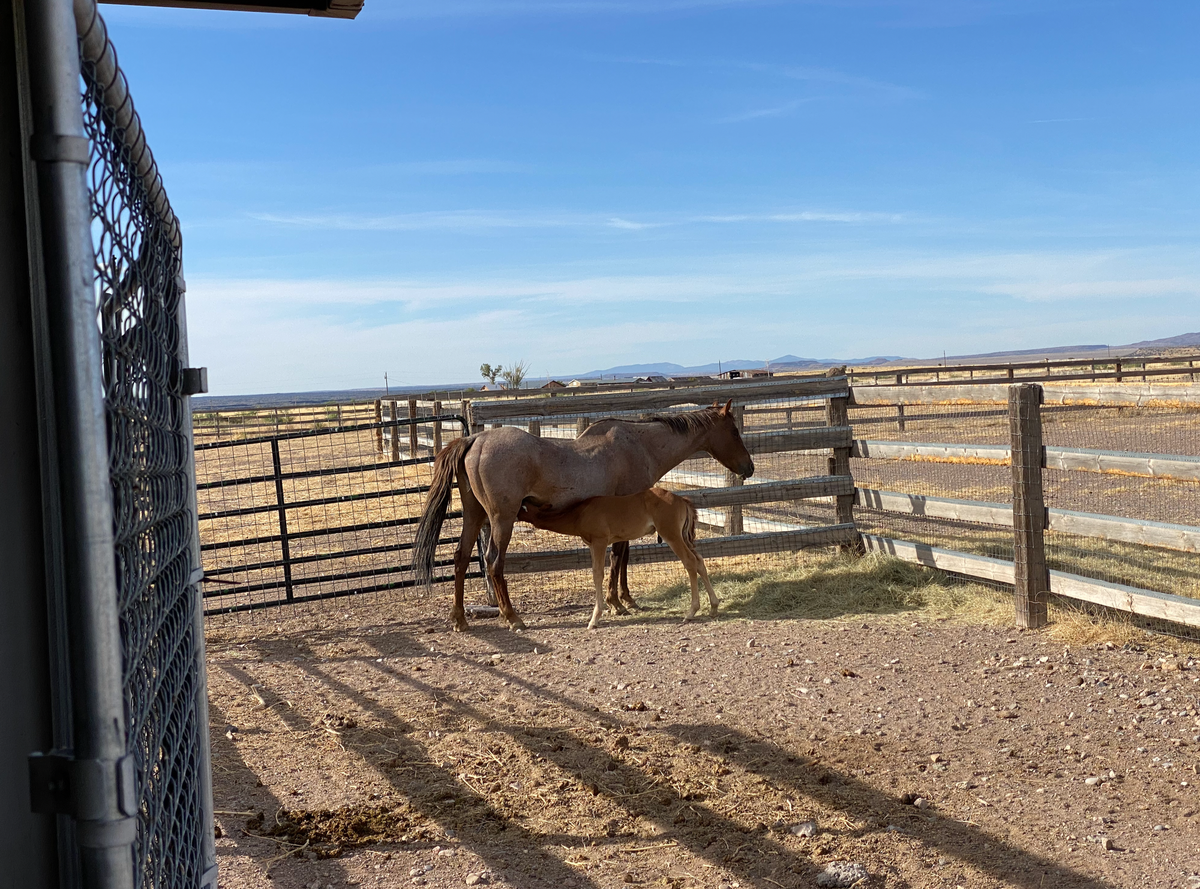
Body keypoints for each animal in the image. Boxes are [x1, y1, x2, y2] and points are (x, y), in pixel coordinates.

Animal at [517, 487, 719, 629]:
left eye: (523, 507)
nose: (513, 514)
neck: (580, 513)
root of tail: (682, 500)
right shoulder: (593, 545)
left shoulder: (599, 541)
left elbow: (597, 574)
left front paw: (594, 619)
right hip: (683, 536)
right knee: (699, 561)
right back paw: (714, 607)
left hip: (672, 535)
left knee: (690, 562)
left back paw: (691, 612)